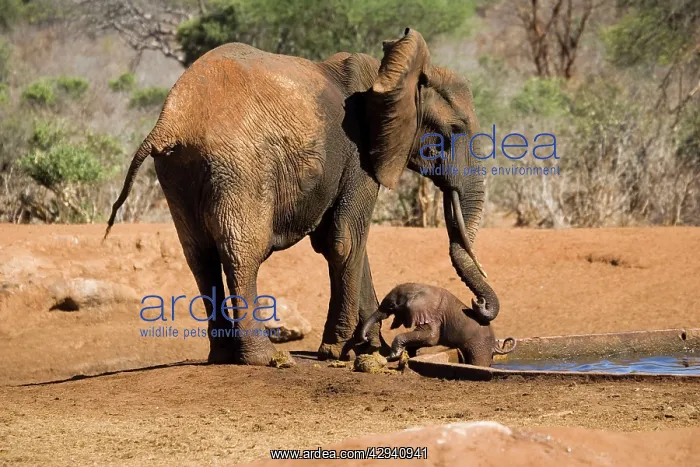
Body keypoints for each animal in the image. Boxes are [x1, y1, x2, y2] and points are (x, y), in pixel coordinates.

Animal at [104, 27, 500, 366]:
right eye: (455, 130)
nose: (477, 305)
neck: (389, 75)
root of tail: (170, 122)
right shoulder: (359, 156)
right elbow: (345, 240)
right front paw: (339, 350)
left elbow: (345, 243)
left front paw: (369, 348)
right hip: (240, 166)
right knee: (242, 253)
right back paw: (265, 358)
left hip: (177, 173)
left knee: (199, 256)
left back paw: (223, 355)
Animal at [361, 283, 515, 367]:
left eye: (392, 305)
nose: (366, 338)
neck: (418, 288)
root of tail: (495, 344)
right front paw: (407, 355)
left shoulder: (433, 315)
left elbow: (431, 338)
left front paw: (392, 356)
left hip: (480, 346)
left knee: (478, 362)